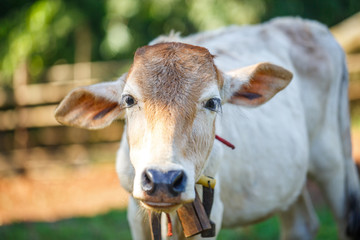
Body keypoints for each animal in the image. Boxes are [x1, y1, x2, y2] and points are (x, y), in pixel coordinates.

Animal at [54, 17, 360, 239]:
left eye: (213, 102)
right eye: (128, 99)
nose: (163, 180)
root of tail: (316, 29)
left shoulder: (211, 215)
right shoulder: (135, 213)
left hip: (334, 165)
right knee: (301, 224)